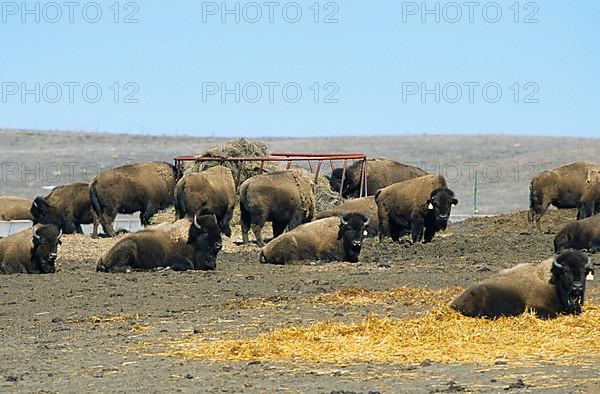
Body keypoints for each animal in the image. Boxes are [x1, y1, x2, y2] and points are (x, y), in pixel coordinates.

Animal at [452, 251, 592, 318]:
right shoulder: (536, 308)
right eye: (565, 271)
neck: (553, 283)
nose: (577, 287)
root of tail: (454, 302)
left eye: (584, 271)